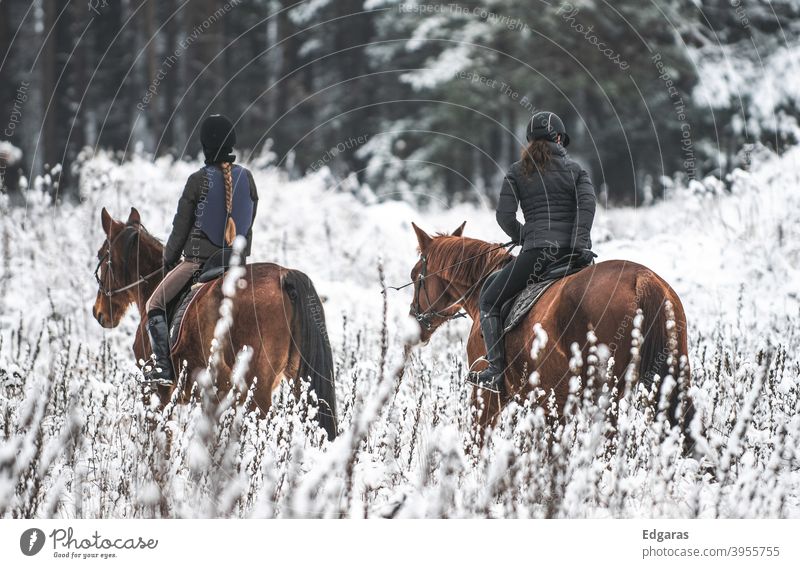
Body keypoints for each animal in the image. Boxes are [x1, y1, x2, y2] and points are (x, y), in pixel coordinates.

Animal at [93, 209, 338, 440]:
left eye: (102, 255)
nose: (98, 313)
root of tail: (284, 276)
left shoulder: (156, 392)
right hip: (299, 382)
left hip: (257, 390)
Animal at [406, 222, 692, 448]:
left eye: (415, 275)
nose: (415, 323)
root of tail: (641, 278)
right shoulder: (551, 405)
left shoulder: (487, 396)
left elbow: (476, 444)